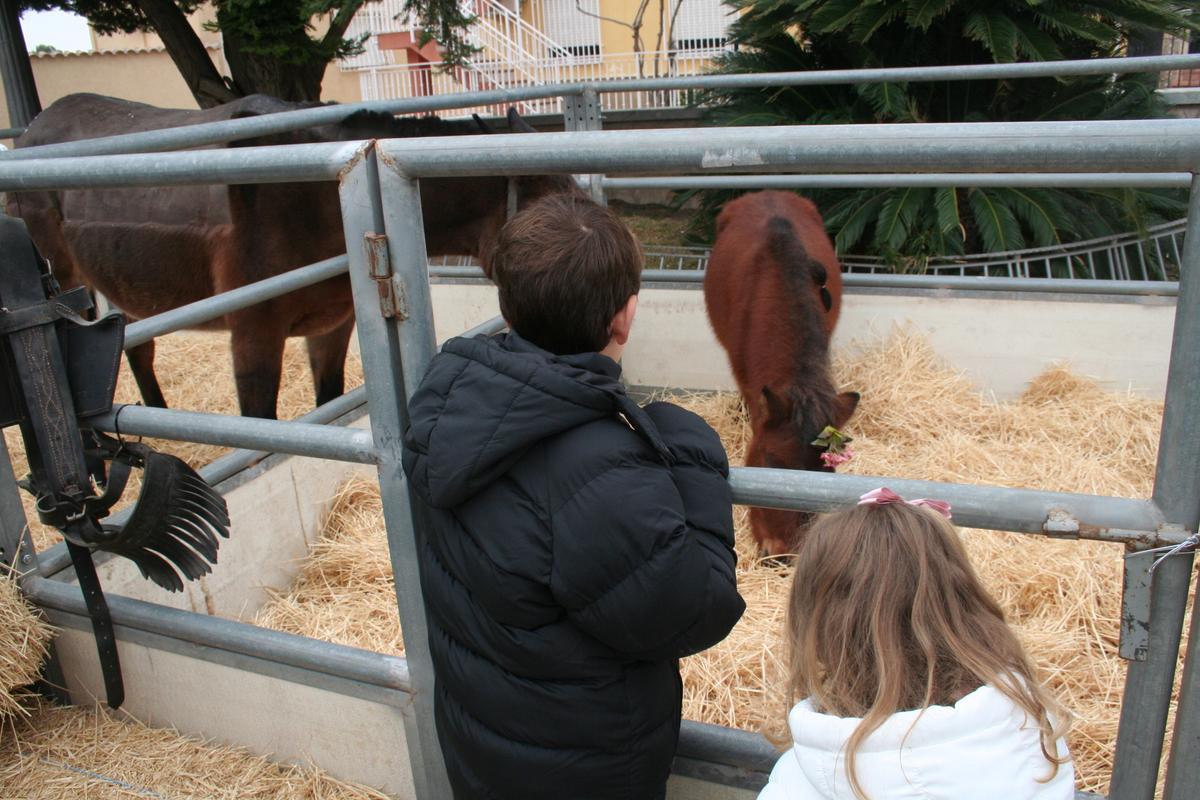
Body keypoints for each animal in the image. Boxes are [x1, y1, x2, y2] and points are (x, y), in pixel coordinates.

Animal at [5, 94, 576, 419]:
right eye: (550, 200)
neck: (320, 198)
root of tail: (33, 130)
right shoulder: (253, 334)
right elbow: (262, 424)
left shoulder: (333, 328)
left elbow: (326, 403)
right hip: (68, 285)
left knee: (136, 349)